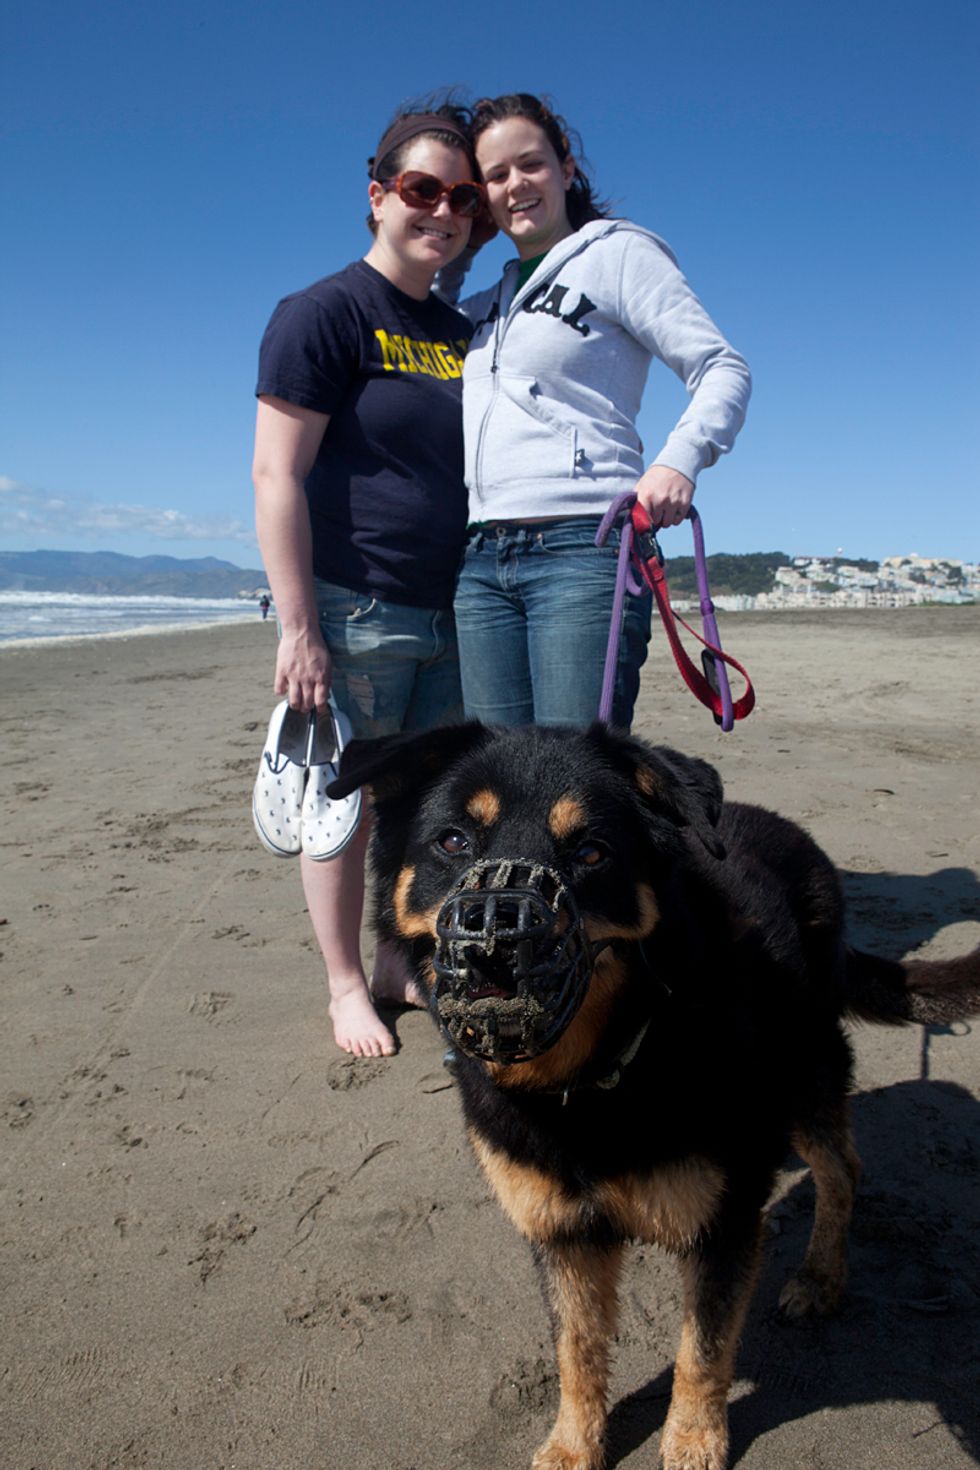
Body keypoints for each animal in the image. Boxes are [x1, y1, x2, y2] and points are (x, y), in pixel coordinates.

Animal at [328, 721, 980, 1470]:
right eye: (454, 841)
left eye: (591, 851)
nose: (495, 938)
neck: (590, 1080)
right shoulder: (564, 1233)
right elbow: (576, 1350)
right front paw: (573, 1444)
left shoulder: (724, 1220)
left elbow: (704, 1348)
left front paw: (693, 1439)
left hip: (803, 1076)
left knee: (842, 1168)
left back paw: (820, 1277)